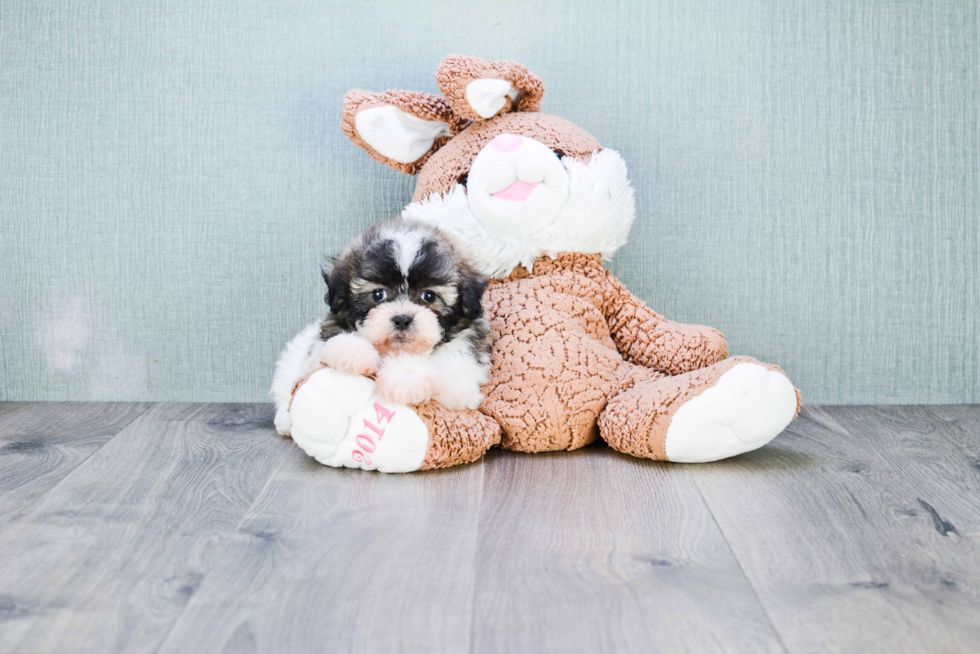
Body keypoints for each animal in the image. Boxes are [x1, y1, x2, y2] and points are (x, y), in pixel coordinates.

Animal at [270, 218, 490, 438]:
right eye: (378, 294)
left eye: (429, 296)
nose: (402, 319)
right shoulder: (315, 355)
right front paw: (352, 351)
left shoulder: (463, 380)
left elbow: (440, 372)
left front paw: (402, 378)